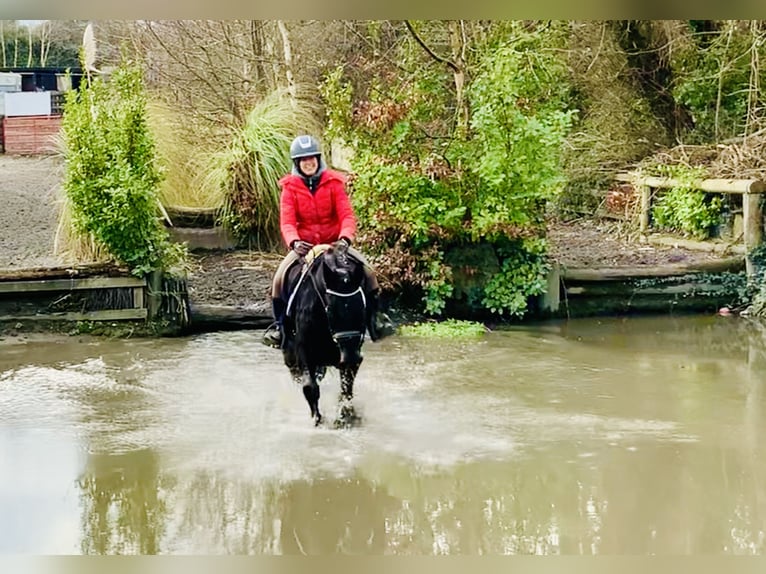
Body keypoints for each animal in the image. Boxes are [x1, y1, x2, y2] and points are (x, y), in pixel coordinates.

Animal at [282, 240, 368, 428]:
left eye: (362, 307)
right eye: (331, 309)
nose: (350, 356)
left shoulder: (351, 355)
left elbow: (347, 388)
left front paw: (345, 417)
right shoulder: (304, 351)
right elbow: (310, 387)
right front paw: (317, 420)